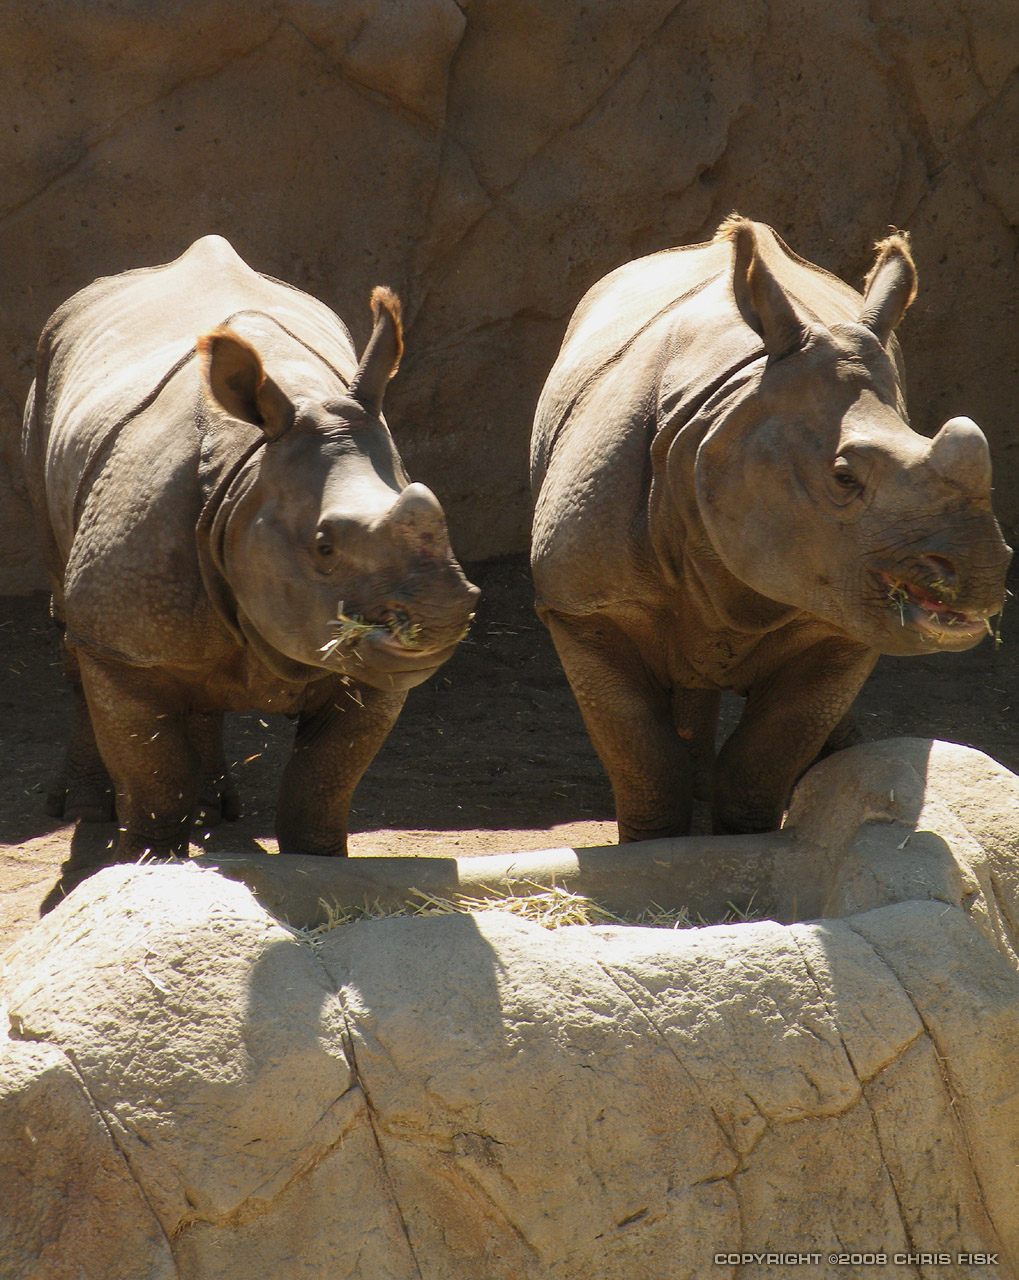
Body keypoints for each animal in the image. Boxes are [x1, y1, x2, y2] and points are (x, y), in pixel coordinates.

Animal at [22, 235, 478, 860]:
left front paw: (318, 861)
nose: (443, 615)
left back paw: (215, 809)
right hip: (45, 381)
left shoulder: (372, 675)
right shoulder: (123, 646)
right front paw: (148, 860)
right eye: (324, 547)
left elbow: (322, 785)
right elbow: (155, 780)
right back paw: (85, 810)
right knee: (68, 620)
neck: (249, 472)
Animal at [531, 216, 1011, 839]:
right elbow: (644, 761)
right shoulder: (583, 608)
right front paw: (654, 841)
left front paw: (744, 839)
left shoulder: (839, 621)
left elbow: (761, 763)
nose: (982, 570)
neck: (725, 412)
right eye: (843, 478)